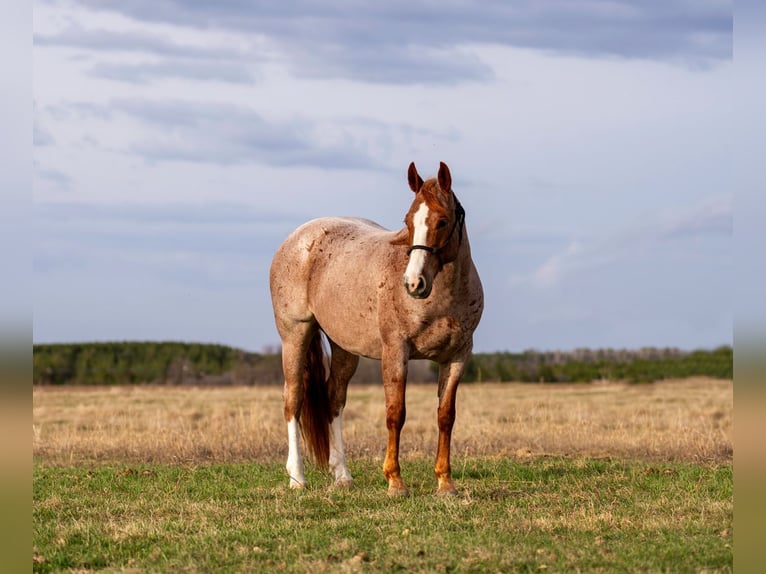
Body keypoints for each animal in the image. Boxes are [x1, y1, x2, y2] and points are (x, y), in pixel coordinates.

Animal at [269, 161, 483, 496]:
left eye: (443, 221)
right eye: (408, 221)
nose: (413, 283)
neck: (443, 297)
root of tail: (298, 238)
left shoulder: (458, 356)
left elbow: (446, 416)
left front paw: (445, 483)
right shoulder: (395, 352)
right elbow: (396, 414)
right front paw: (395, 481)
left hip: (343, 347)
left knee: (334, 399)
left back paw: (343, 475)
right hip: (294, 335)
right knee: (293, 398)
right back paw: (297, 478)